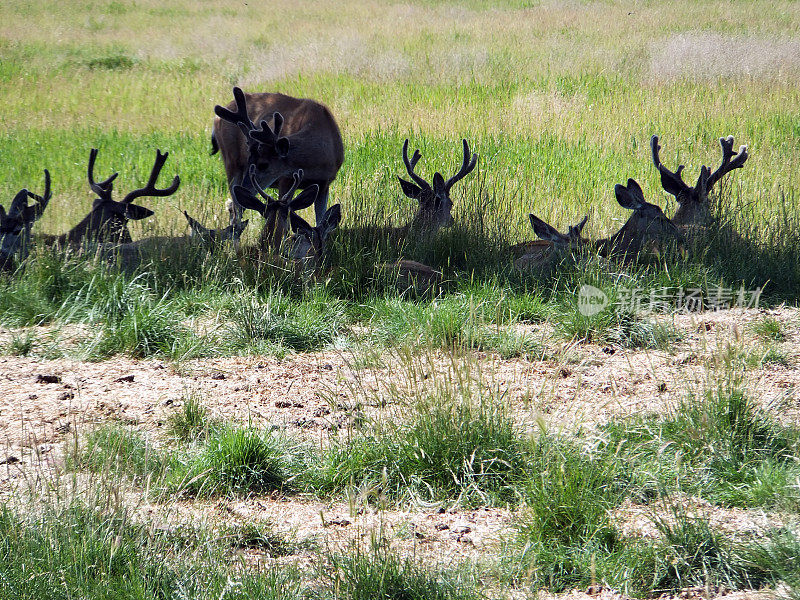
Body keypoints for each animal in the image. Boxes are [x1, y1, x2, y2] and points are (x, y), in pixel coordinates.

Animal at [211, 85, 342, 224]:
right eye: (249, 160)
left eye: (264, 165)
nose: (244, 187)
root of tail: (216, 119)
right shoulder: (285, 180)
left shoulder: (325, 184)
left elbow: (320, 220)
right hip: (231, 162)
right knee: (236, 209)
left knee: (234, 207)